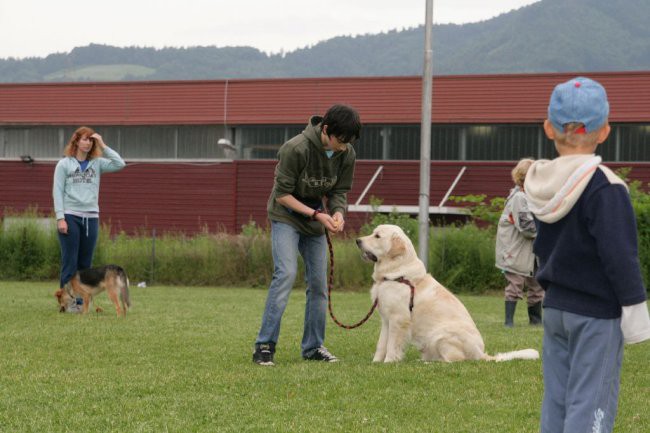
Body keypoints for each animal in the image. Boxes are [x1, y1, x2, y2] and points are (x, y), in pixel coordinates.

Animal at [354, 224, 536, 362]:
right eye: (373, 233)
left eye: (377, 236)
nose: (357, 240)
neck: (396, 274)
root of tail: (481, 354)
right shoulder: (386, 320)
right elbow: (381, 344)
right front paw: (376, 362)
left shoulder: (398, 320)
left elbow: (392, 345)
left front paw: (389, 362)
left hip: (440, 336)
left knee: (454, 360)